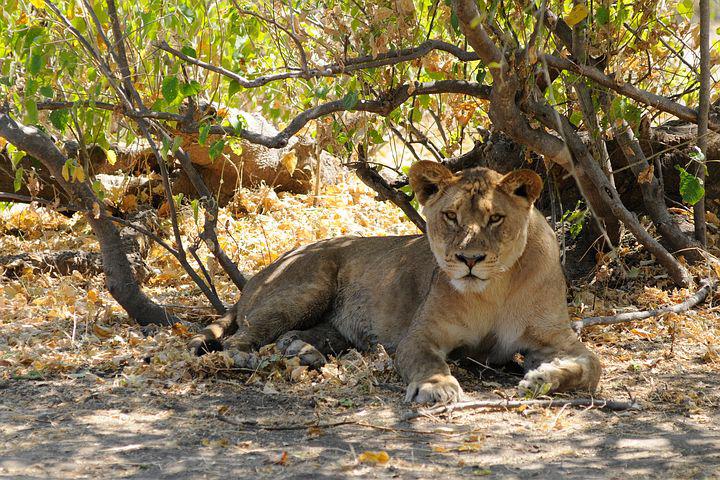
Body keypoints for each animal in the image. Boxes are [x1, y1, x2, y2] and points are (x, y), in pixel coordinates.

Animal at [189, 161, 601, 403]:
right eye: (451, 216)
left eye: (495, 218)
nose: (469, 260)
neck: (494, 290)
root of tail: (259, 275)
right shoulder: (420, 335)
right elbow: (426, 360)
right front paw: (438, 386)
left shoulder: (554, 337)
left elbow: (593, 366)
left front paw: (543, 378)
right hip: (308, 286)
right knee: (240, 338)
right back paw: (248, 359)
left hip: (331, 324)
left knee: (293, 336)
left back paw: (304, 353)